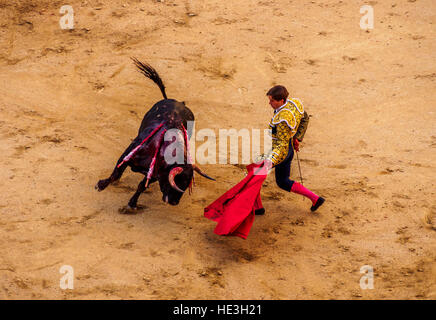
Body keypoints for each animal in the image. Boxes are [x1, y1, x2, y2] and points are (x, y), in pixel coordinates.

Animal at [95, 58, 215, 206]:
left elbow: (142, 186)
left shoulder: (155, 174)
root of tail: (178, 102)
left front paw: (132, 204)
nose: (174, 202)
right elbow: (116, 173)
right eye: (177, 182)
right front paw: (101, 185)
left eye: (186, 184)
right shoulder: (129, 152)